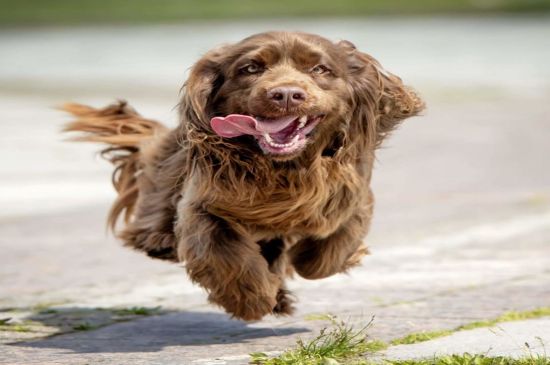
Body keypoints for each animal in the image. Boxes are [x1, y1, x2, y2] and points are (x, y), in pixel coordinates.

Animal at [64, 31, 426, 318]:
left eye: (320, 69)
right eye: (251, 68)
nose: (286, 94)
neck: (286, 167)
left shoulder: (352, 197)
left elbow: (330, 247)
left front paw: (305, 260)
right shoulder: (205, 206)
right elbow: (226, 255)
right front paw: (251, 301)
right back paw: (159, 240)